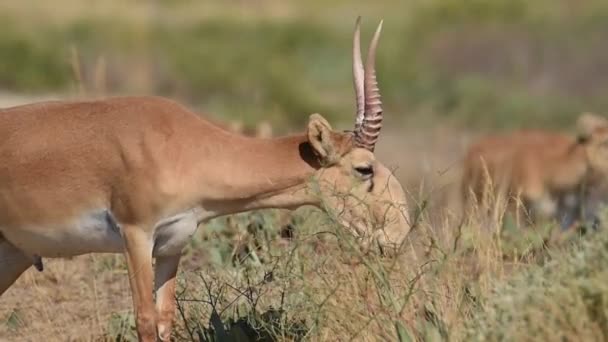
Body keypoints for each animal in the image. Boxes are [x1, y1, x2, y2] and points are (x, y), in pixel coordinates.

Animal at [0, 17, 410, 340]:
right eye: (364, 168)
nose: (398, 235)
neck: (182, 143)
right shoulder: (136, 236)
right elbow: (144, 320)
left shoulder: (171, 245)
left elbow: (164, 320)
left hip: (13, 255)